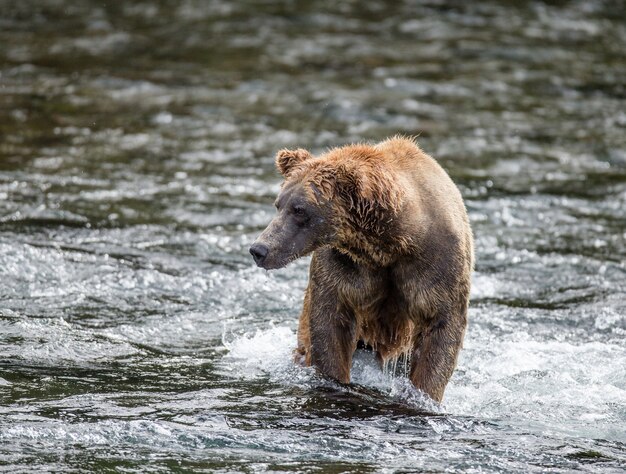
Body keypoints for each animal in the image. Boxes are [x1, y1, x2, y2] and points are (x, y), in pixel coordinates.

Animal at [249, 135, 472, 402]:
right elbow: (330, 326)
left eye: (299, 209)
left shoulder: (438, 267)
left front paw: (422, 393)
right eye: (278, 204)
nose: (259, 249)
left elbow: (440, 331)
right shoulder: (343, 268)